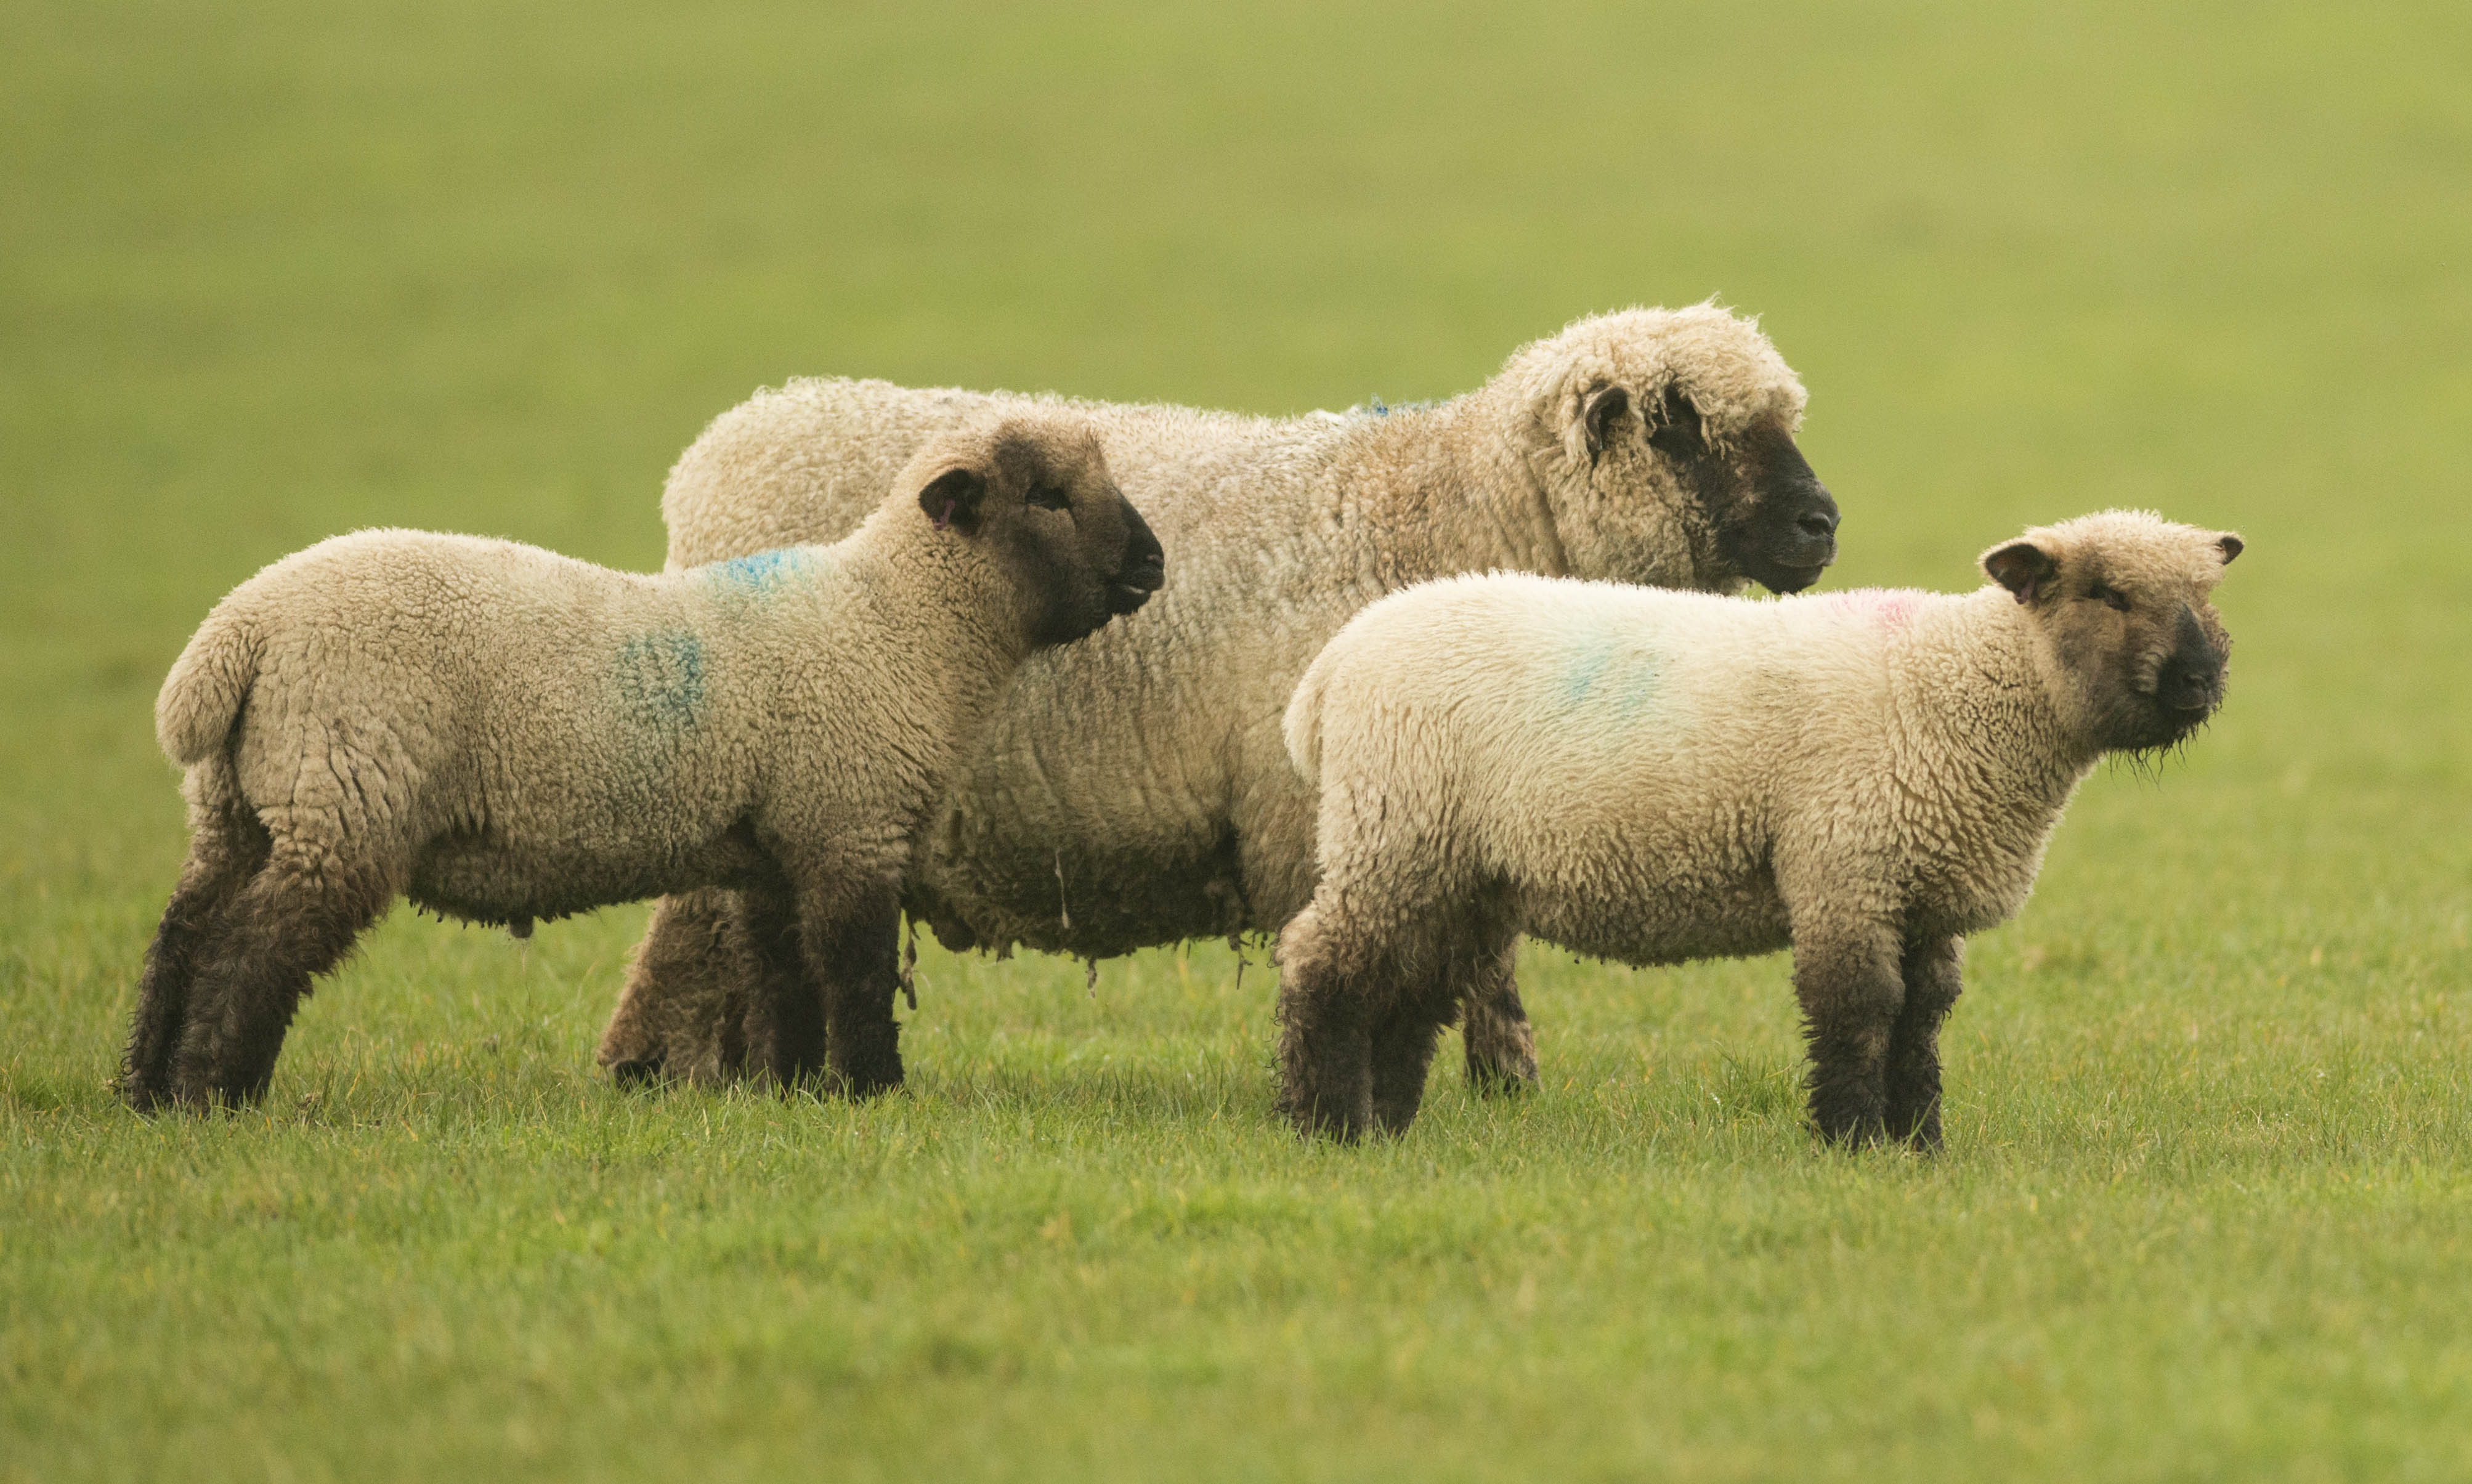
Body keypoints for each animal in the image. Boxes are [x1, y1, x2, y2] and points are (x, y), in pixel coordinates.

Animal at [119, 414, 1163, 1112]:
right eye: (1048, 495)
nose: (1154, 566)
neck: (897, 624)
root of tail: (237, 634)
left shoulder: (774, 847)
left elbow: (783, 973)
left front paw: (790, 1093)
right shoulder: (848, 823)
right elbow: (854, 971)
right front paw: (871, 1090)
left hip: (243, 804)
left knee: (185, 935)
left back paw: (145, 1088)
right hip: (342, 797)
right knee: (253, 949)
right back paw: (215, 1093)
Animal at [594, 304, 1843, 1093]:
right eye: (1679, 425)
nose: (1821, 524)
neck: (1445, 511)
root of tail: (718, 452)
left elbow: (1482, 960)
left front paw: (1505, 1091)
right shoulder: (1339, 811)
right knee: (704, 932)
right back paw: (669, 1075)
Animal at [1273, 509, 2243, 1147]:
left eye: (2206, 595)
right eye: (2108, 593)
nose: (2198, 682)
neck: (1964, 687)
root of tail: (1326, 673)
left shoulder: (1920, 889)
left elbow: (1922, 1019)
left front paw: (1919, 1144)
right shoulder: (1846, 865)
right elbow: (1860, 1008)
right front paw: (1852, 1141)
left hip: (1457, 864)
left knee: (1410, 987)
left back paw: (1387, 1123)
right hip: (1394, 829)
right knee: (1325, 964)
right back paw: (1325, 1124)